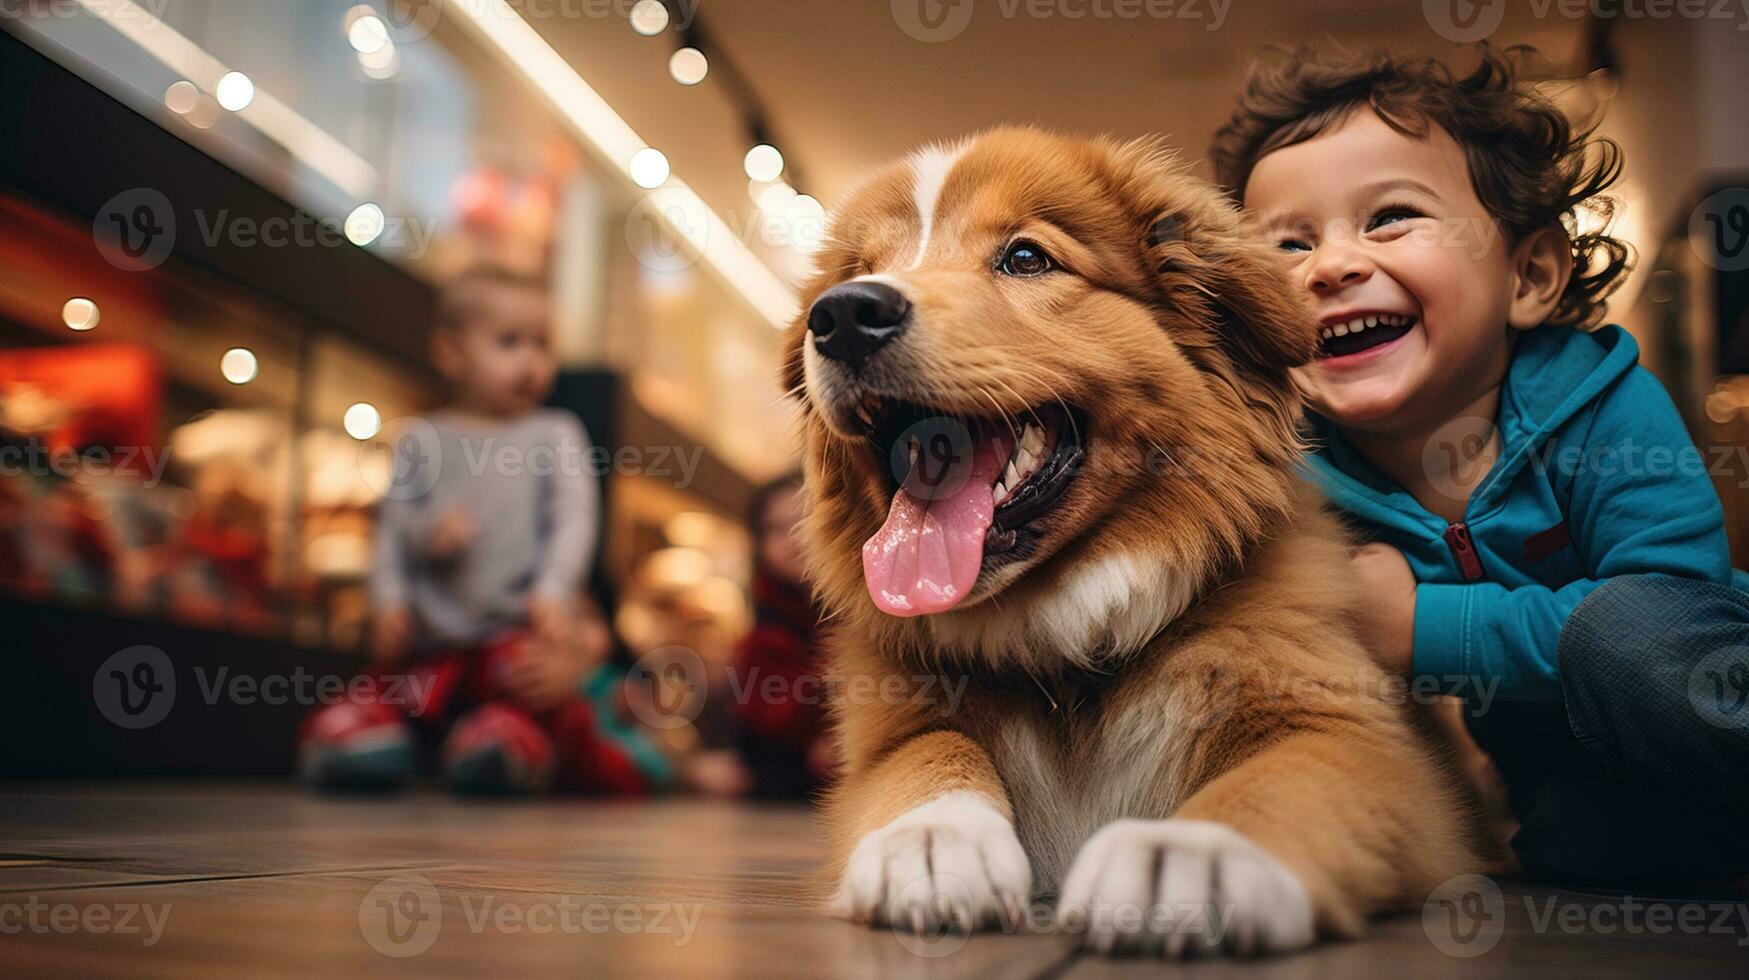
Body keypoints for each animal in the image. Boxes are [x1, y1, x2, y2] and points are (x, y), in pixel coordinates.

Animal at [787, 128, 1483, 959]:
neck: (1069, 656)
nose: (842, 315)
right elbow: (928, 753)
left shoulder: (1364, 742)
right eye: (860, 271)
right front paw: (928, 839)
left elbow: (1289, 774)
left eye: (1025, 258)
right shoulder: (888, 735)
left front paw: (1190, 853)